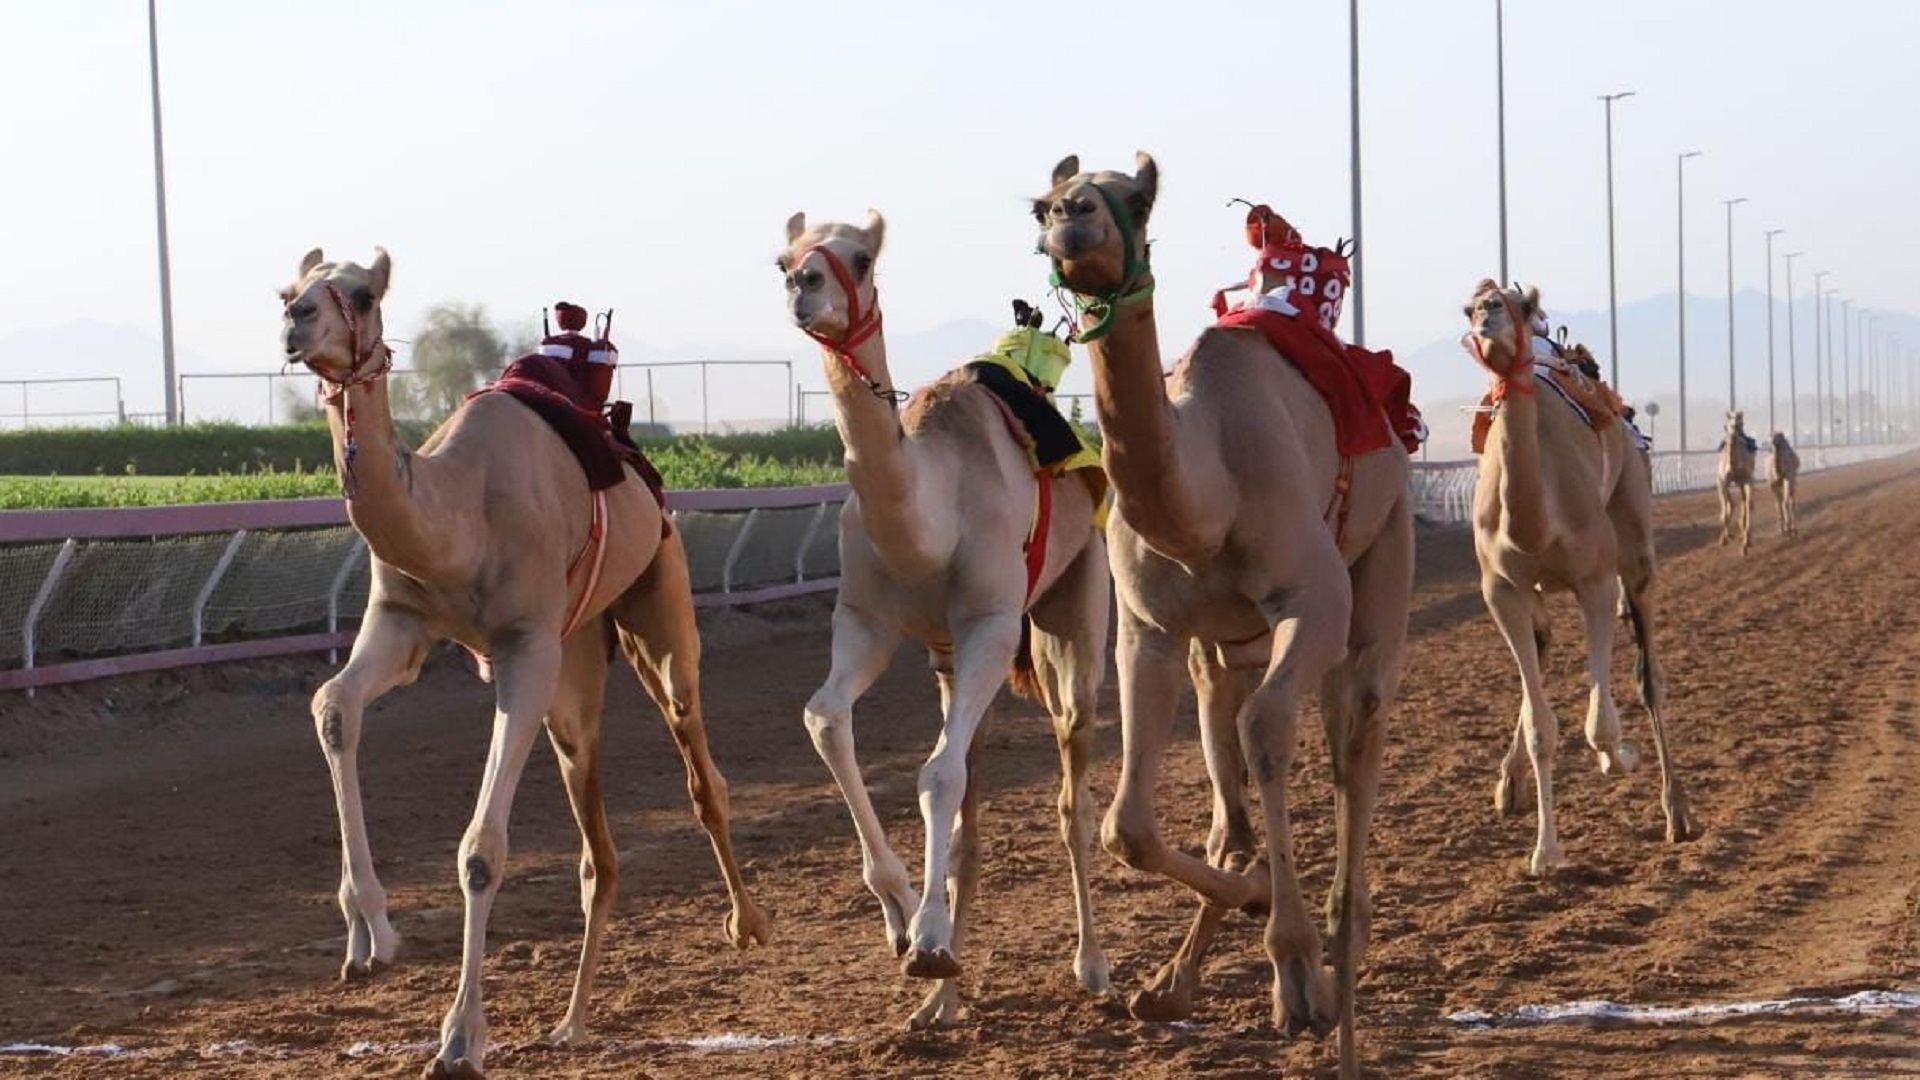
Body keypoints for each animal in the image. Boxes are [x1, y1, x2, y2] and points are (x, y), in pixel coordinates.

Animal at [280, 247, 771, 1068]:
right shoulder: (403, 621)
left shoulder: (526, 649)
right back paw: (571, 1020)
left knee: (700, 764)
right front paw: (369, 935)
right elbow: (332, 706)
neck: (458, 515)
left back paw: (749, 923)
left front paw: (459, 1039)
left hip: (656, 601)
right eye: (289, 288)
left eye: (362, 293)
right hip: (578, 663)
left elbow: (480, 849)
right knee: (596, 847)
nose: (297, 320)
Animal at [775, 210, 1113, 1022]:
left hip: (1073, 607)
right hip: (952, 664)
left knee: (1072, 791)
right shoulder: (867, 621)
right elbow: (825, 720)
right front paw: (903, 922)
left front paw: (927, 940)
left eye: (861, 258)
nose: (804, 285)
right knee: (971, 807)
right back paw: (945, 1002)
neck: (931, 516)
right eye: (782, 258)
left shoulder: (990, 620)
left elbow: (934, 773)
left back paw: (1093, 967)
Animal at [1036, 153, 1413, 1076]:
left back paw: (1338, 965)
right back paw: (1175, 980)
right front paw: (1247, 914)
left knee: (1354, 739)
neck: (1207, 500)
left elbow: (1271, 736)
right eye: (1040, 203)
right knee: (1228, 794)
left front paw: (1298, 969)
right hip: (1224, 650)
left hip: (1380, 559)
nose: (1072, 217)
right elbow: (1129, 826)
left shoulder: (1313, 601)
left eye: (1136, 200)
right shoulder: (1148, 631)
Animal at [1459, 278, 1689, 876]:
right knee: (1542, 652)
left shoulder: (1595, 579)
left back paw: (1677, 812)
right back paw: (1509, 784)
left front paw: (1620, 755)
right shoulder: (1502, 590)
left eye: (1519, 306)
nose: (1488, 313)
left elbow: (1601, 725)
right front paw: (1544, 852)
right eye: (1469, 308)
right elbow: (1543, 727)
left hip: (1634, 535)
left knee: (1649, 676)